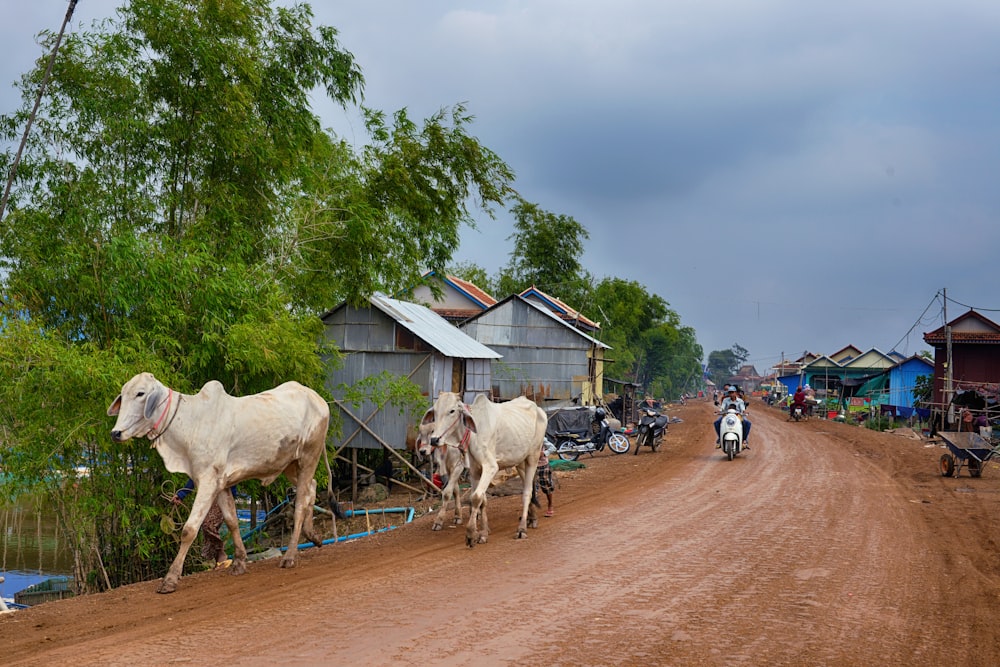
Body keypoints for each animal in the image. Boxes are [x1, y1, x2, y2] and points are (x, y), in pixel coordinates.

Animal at [108, 370, 332, 596]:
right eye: (122, 395)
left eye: (140, 393)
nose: (115, 433)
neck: (189, 422)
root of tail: (317, 398)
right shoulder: (222, 484)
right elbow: (232, 521)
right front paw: (239, 562)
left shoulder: (208, 482)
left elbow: (189, 529)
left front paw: (170, 580)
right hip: (290, 465)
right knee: (312, 488)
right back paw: (312, 535)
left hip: (309, 457)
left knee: (300, 502)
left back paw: (290, 556)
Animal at [422, 394, 548, 544]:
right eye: (435, 412)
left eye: (452, 411)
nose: (434, 440)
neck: (472, 434)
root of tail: (538, 408)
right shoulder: (475, 470)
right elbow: (482, 500)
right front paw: (483, 533)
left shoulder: (490, 467)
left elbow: (476, 497)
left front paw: (471, 534)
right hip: (520, 462)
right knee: (529, 487)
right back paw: (532, 518)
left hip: (533, 456)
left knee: (527, 492)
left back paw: (522, 528)